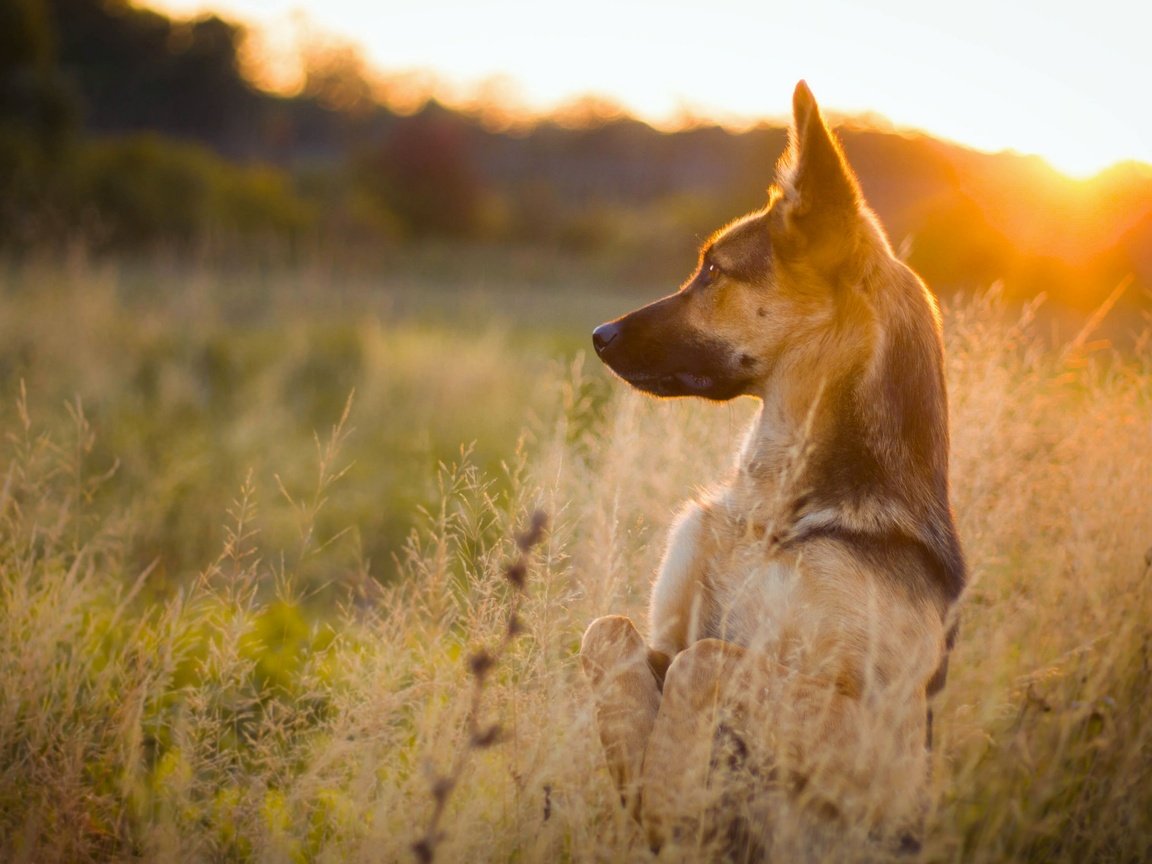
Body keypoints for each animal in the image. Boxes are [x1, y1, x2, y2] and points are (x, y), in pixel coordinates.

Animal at [580, 79, 967, 861]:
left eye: (711, 271)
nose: (599, 336)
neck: (775, 514)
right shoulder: (660, 639)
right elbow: (611, 633)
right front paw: (647, 791)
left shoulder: (891, 751)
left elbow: (708, 662)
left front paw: (669, 800)